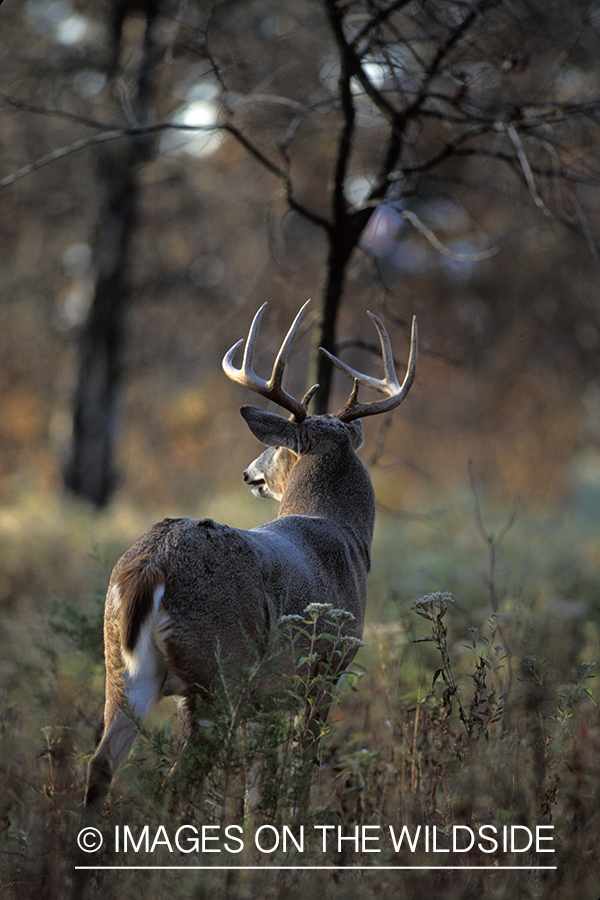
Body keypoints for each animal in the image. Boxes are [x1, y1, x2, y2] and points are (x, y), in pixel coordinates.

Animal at [84, 300, 414, 808]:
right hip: (217, 672)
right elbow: (300, 770)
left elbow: (257, 786)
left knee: (100, 766)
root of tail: (150, 569)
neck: (344, 534)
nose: (247, 473)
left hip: (121, 669)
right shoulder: (324, 668)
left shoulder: (267, 696)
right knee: (176, 780)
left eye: (274, 448)